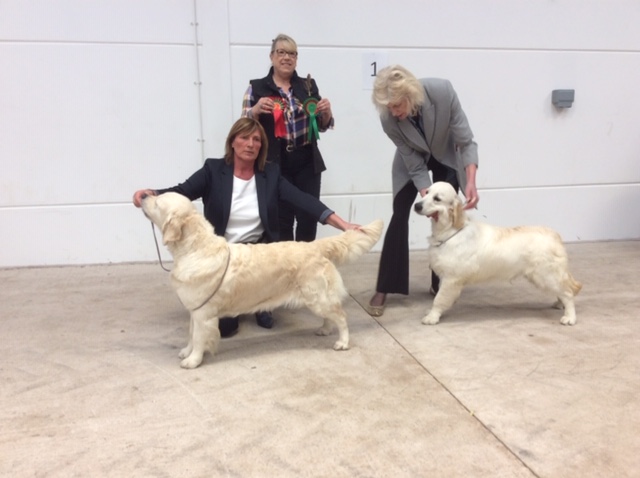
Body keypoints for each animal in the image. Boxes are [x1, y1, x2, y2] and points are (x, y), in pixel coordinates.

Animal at [141, 192, 383, 368]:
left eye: (158, 201)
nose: (143, 195)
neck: (195, 249)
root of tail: (315, 245)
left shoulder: (203, 313)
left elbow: (200, 338)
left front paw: (193, 360)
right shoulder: (195, 308)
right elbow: (191, 335)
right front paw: (186, 352)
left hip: (317, 297)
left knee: (341, 316)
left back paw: (342, 342)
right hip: (316, 298)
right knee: (332, 315)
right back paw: (324, 329)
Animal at [413, 182, 581, 326]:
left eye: (437, 198)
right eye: (426, 192)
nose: (416, 205)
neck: (451, 231)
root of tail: (555, 235)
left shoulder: (451, 278)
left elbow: (439, 299)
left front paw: (432, 317)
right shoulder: (446, 276)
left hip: (546, 275)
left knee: (568, 293)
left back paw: (569, 317)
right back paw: (559, 304)